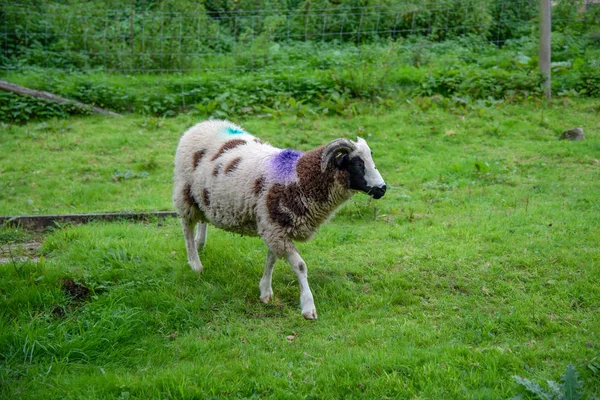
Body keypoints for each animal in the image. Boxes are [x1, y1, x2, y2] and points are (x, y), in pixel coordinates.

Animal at [176, 120, 386, 320]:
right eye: (358, 164)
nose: (382, 189)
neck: (300, 177)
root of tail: (202, 124)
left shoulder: (273, 226)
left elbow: (271, 259)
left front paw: (265, 291)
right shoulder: (274, 227)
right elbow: (300, 266)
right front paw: (308, 307)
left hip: (203, 198)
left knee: (202, 219)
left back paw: (200, 243)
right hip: (185, 193)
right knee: (186, 228)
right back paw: (195, 263)